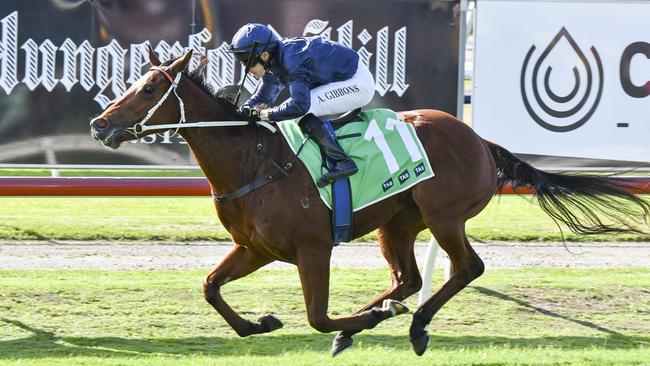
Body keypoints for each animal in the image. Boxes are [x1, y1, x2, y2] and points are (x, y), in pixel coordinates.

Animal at [88, 50, 644, 356]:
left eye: (151, 88)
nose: (99, 124)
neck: (255, 162)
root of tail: (479, 139)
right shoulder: (257, 248)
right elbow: (209, 286)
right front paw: (258, 324)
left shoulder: (313, 249)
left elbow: (317, 317)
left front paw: (357, 324)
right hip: (395, 223)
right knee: (409, 279)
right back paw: (385, 312)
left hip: (444, 216)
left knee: (466, 268)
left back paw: (412, 324)